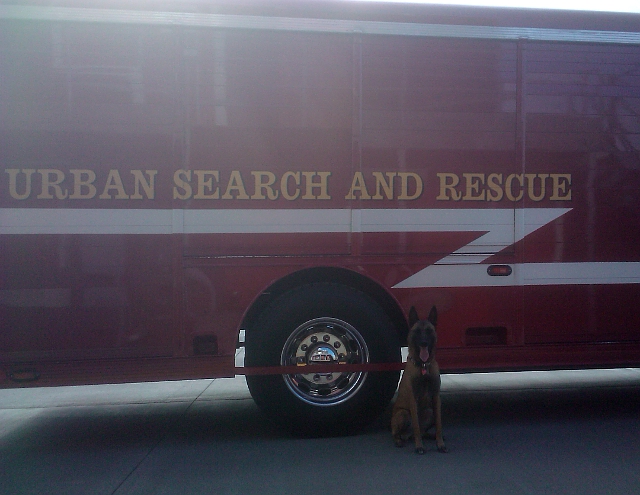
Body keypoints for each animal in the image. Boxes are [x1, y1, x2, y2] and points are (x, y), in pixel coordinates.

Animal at [391, 306, 447, 454]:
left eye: (429, 331)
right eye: (417, 331)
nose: (424, 343)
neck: (423, 365)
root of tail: (407, 435)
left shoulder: (436, 397)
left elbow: (439, 424)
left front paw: (440, 443)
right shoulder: (413, 398)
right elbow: (416, 425)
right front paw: (419, 446)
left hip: (429, 412)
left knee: (423, 431)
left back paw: (430, 436)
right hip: (403, 414)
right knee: (398, 433)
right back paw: (399, 441)